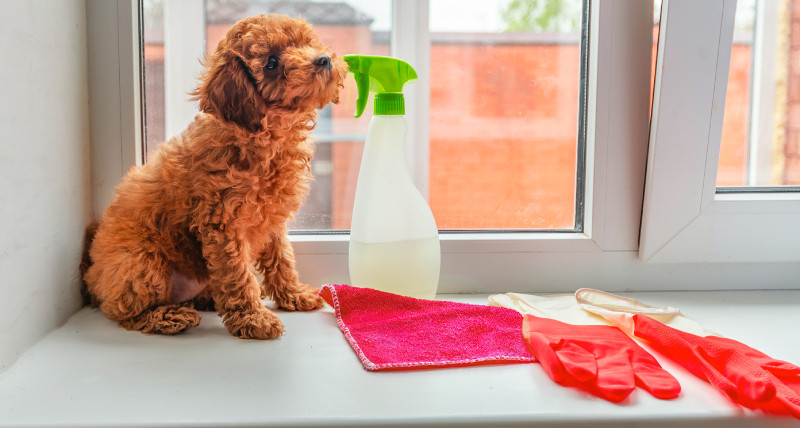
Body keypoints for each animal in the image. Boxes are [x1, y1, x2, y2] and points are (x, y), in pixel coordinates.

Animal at [81, 15, 346, 340]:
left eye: (306, 43)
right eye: (271, 63)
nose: (322, 59)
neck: (266, 137)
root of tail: (92, 276)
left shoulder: (272, 220)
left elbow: (281, 259)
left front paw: (293, 294)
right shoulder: (221, 223)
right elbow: (237, 274)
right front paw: (253, 318)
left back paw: (207, 299)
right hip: (141, 262)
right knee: (123, 310)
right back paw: (169, 316)